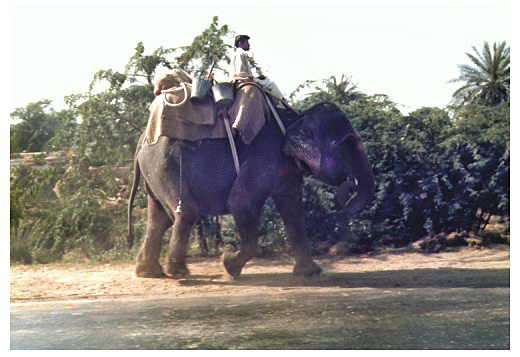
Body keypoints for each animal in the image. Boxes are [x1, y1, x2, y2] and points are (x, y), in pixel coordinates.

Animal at [128, 101, 376, 280]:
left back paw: (149, 273)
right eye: (347, 145)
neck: (294, 118)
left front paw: (310, 273)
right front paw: (228, 267)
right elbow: (240, 202)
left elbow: (293, 211)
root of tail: (142, 140)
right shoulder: (265, 158)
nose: (349, 185)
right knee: (185, 212)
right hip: (164, 166)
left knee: (159, 219)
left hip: (155, 172)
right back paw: (179, 273)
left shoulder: (285, 170)